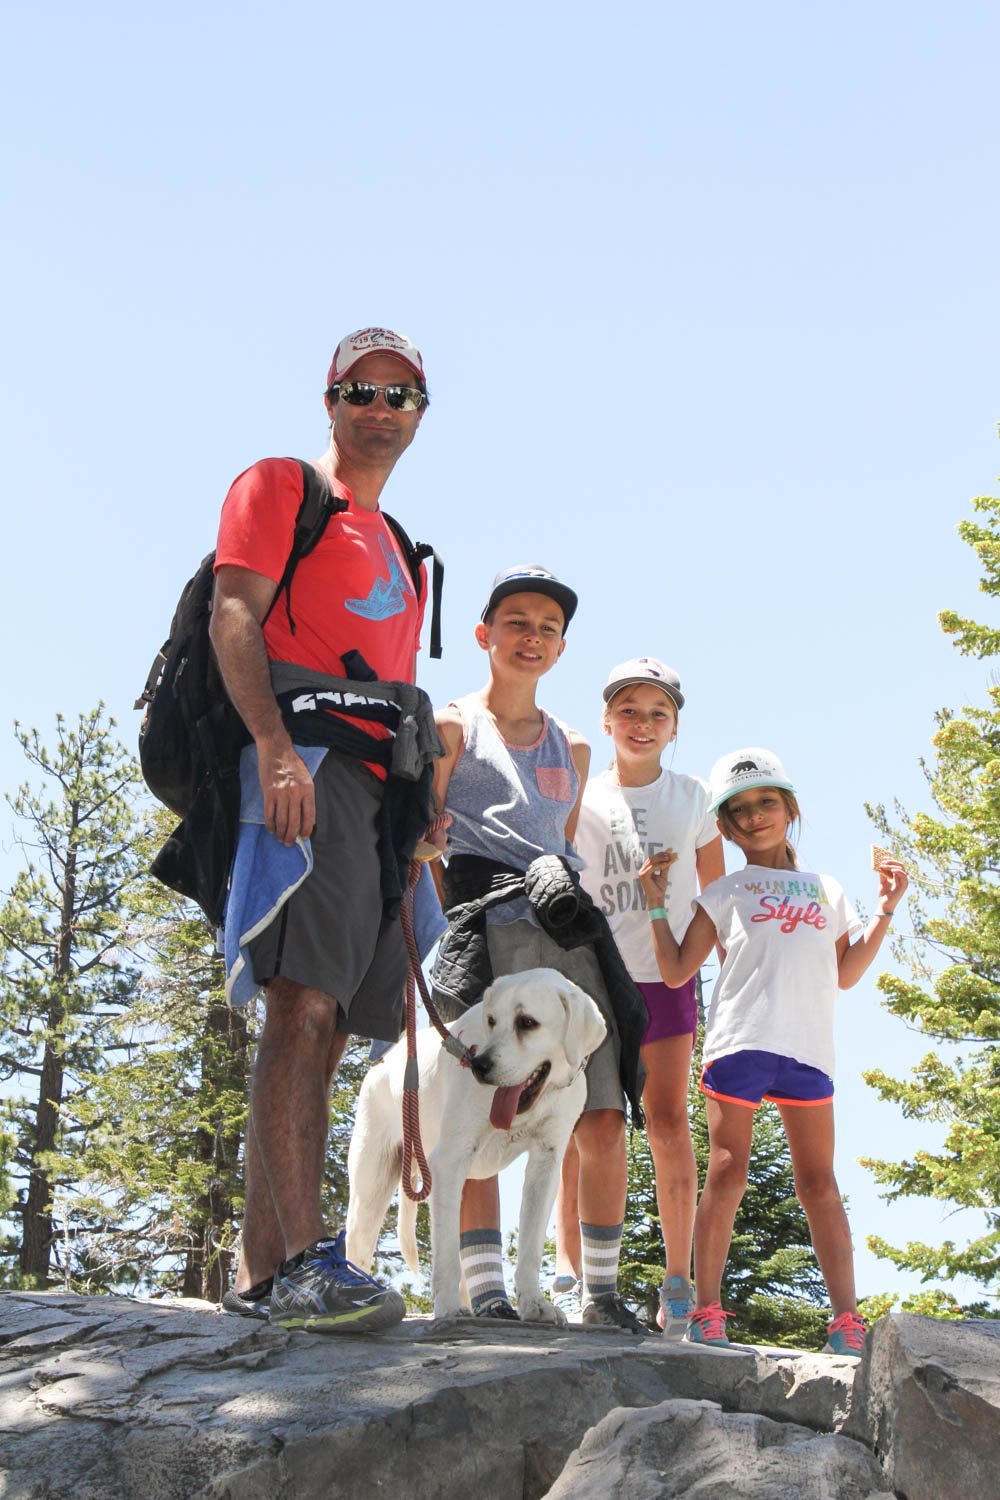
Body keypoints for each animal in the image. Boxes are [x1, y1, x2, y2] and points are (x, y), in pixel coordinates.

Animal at [347, 966, 605, 1320]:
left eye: (527, 1022)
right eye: (492, 1020)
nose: (480, 1066)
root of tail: (384, 1061)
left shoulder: (546, 1165)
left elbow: (530, 1248)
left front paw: (532, 1304)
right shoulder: (449, 1161)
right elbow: (445, 1256)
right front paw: (446, 1309)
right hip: (372, 1185)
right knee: (358, 1247)